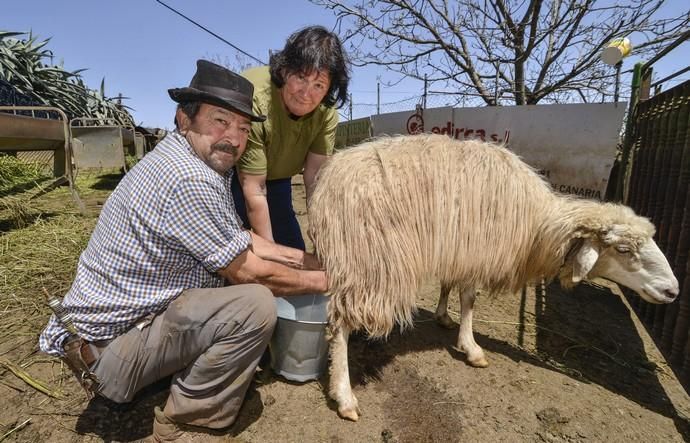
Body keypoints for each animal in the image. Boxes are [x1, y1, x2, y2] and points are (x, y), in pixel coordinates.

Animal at [308, 134, 676, 422]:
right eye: (624, 250)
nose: (672, 291)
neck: (536, 226)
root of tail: (330, 181)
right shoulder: (477, 250)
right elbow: (470, 300)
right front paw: (471, 348)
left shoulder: (458, 249)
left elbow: (448, 285)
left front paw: (443, 317)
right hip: (370, 263)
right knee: (339, 325)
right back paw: (344, 395)